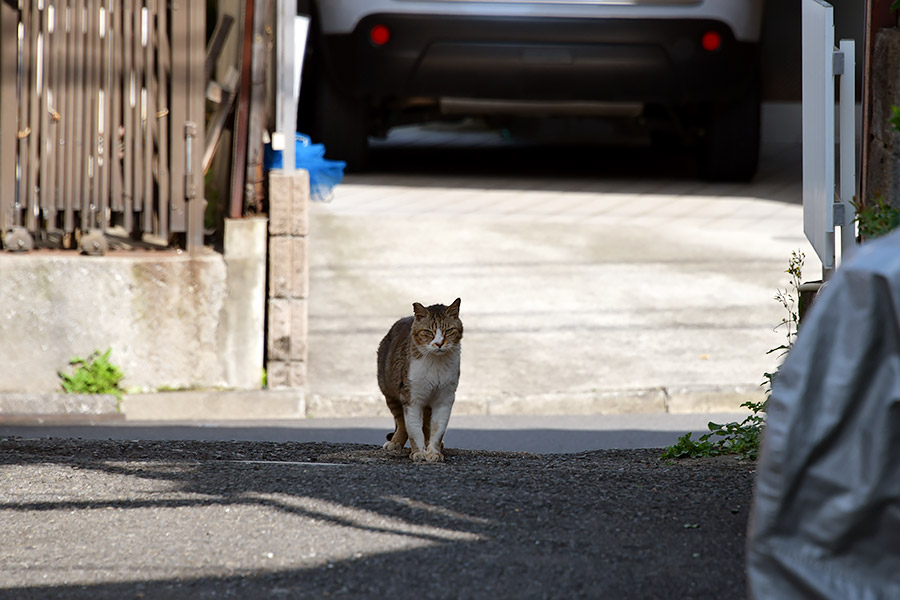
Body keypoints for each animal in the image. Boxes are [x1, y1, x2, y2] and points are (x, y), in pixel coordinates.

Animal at [378, 298, 468, 462]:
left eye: (448, 331)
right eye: (428, 332)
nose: (439, 343)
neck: (436, 364)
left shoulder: (444, 398)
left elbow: (437, 428)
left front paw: (434, 452)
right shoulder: (412, 397)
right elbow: (413, 428)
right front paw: (418, 452)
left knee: (426, 425)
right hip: (390, 391)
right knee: (401, 422)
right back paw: (395, 442)